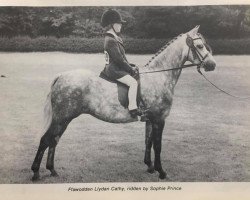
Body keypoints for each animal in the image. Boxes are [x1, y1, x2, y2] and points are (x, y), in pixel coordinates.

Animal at [31, 25, 215, 180]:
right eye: (200, 46)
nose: (212, 65)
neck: (158, 76)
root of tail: (61, 76)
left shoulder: (150, 120)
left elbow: (148, 142)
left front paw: (149, 167)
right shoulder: (159, 119)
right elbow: (158, 146)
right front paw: (161, 172)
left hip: (64, 119)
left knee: (54, 140)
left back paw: (52, 170)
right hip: (61, 118)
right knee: (46, 140)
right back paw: (35, 173)